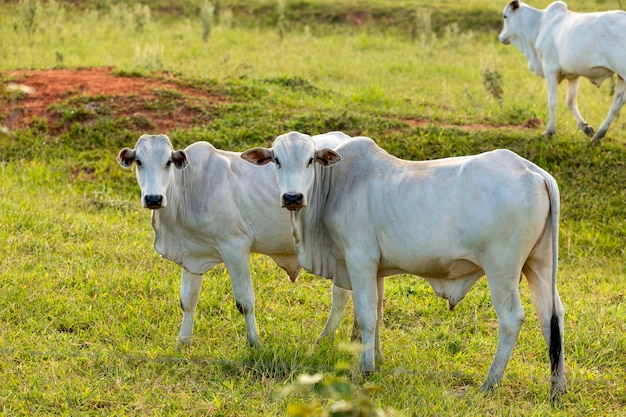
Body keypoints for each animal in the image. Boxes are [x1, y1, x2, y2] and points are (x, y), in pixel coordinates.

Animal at [115, 133, 354, 348]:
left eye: (167, 162)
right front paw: (183, 342)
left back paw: (326, 337)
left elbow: (245, 301)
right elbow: (187, 301)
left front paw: (255, 342)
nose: (153, 199)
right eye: (139, 161)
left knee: (341, 295)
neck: (189, 187)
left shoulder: (235, 248)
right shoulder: (192, 255)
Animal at [243, 132, 564, 400]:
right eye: (277, 160)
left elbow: (366, 315)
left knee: (512, 319)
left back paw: (489, 383)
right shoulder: (377, 270)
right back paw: (557, 387)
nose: (292, 197)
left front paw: (365, 368)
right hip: (539, 265)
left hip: (502, 270)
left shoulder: (359, 259)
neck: (337, 185)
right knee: (551, 315)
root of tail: (533, 172)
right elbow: (376, 314)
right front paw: (377, 360)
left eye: (310, 160)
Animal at [500, 0, 626, 143]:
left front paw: (549, 131)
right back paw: (598, 135)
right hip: (621, 76)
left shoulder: (550, 69)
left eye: (505, 16)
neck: (539, 24)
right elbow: (570, 102)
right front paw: (585, 127)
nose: (501, 37)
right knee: (617, 102)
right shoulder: (573, 75)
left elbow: (552, 102)